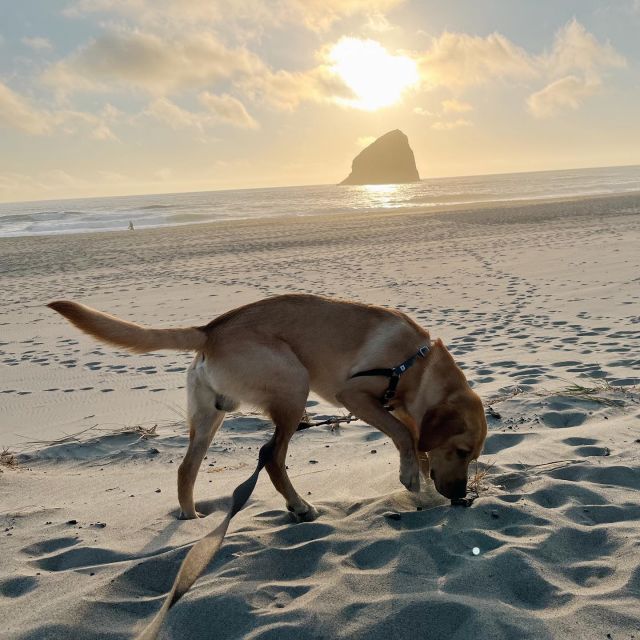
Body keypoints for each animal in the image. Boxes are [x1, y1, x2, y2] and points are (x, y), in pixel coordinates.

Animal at [48, 296, 484, 520]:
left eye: (473, 456)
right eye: (462, 451)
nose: (461, 495)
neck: (417, 364)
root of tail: (210, 330)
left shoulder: (405, 408)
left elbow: (413, 438)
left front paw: (420, 476)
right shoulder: (354, 395)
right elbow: (403, 434)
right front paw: (411, 476)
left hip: (209, 417)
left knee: (187, 468)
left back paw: (191, 518)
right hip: (294, 385)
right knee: (272, 456)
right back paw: (299, 506)